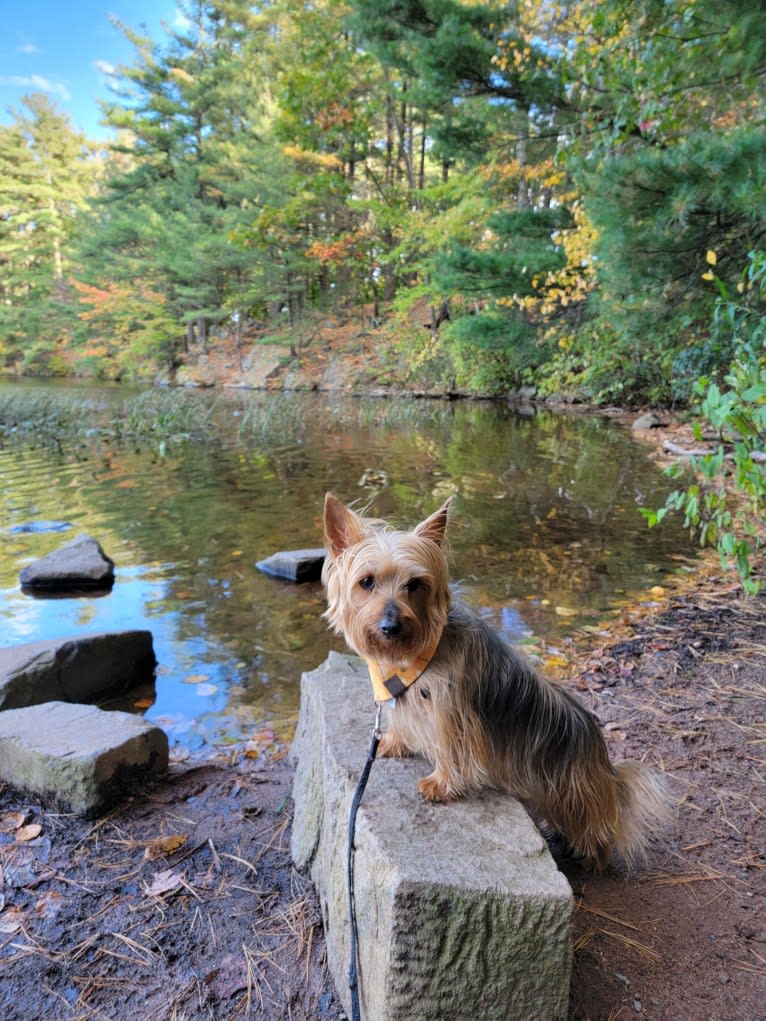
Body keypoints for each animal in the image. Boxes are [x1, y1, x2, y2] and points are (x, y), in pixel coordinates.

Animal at [322, 494, 669, 869]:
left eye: (414, 584)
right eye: (366, 582)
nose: (390, 627)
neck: (409, 657)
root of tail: (605, 764)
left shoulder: (451, 708)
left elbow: (449, 745)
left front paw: (441, 784)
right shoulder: (411, 696)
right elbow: (403, 719)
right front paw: (395, 741)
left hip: (571, 791)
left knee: (594, 831)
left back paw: (592, 859)